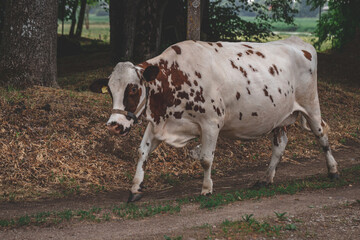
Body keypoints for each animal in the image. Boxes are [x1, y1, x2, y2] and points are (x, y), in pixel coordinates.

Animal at [103, 36, 338, 202]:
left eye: (133, 89)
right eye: (110, 90)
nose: (114, 126)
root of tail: (297, 42)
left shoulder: (211, 123)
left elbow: (206, 158)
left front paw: (207, 188)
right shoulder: (159, 123)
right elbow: (142, 152)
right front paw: (135, 188)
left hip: (311, 104)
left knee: (322, 134)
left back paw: (333, 171)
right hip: (279, 117)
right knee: (279, 145)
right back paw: (266, 179)